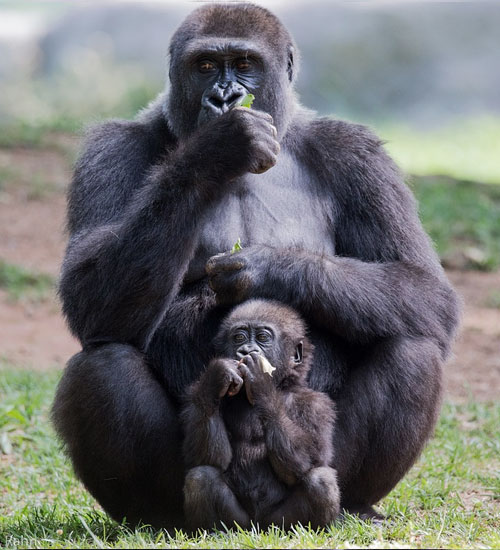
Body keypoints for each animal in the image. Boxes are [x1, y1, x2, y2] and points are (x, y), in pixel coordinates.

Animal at [180, 300, 340, 532]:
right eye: (239, 337)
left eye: (263, 337)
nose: (246, 350)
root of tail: (258, 527)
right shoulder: (194, 396)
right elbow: (207, 457)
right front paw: (218, 375)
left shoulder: (317, 405)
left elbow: (310, 459)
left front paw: (261, 382)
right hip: (240, 524)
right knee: (201, 477)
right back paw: (214, 532)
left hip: (276, 523)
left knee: (321, 481)